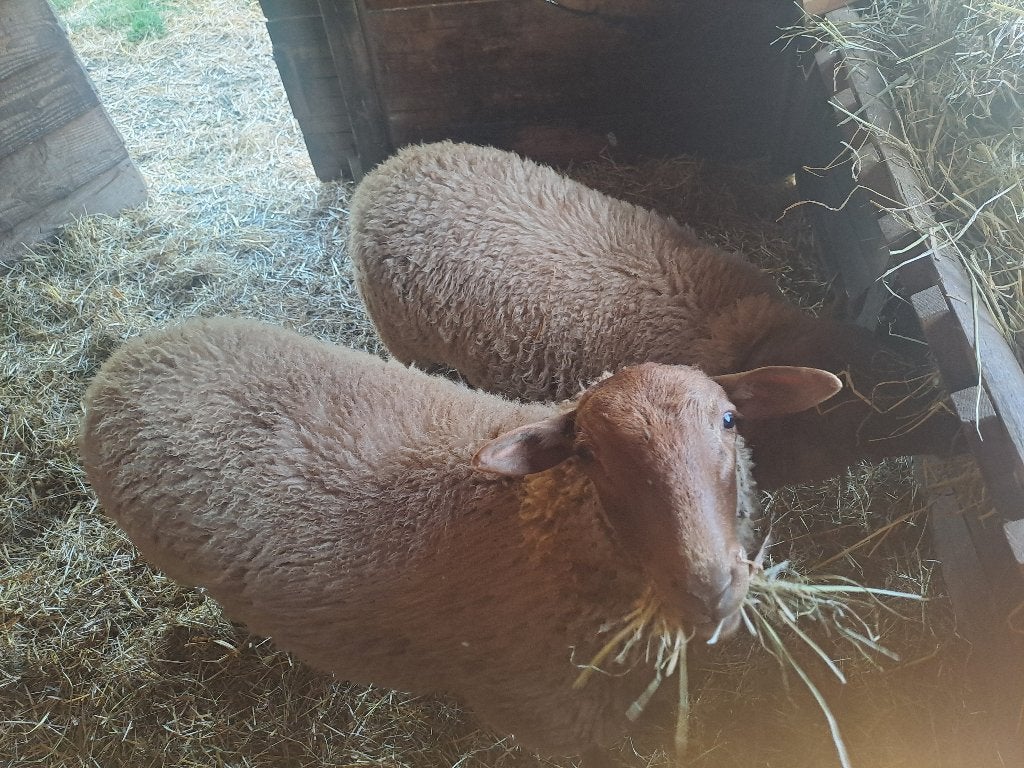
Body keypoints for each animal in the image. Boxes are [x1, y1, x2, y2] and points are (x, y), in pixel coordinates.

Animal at [80, 317, 841, 761]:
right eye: (589, 454)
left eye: (730, 421)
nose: (707, 588)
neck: (536, 525)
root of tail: (137, 354)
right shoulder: (552, 714)